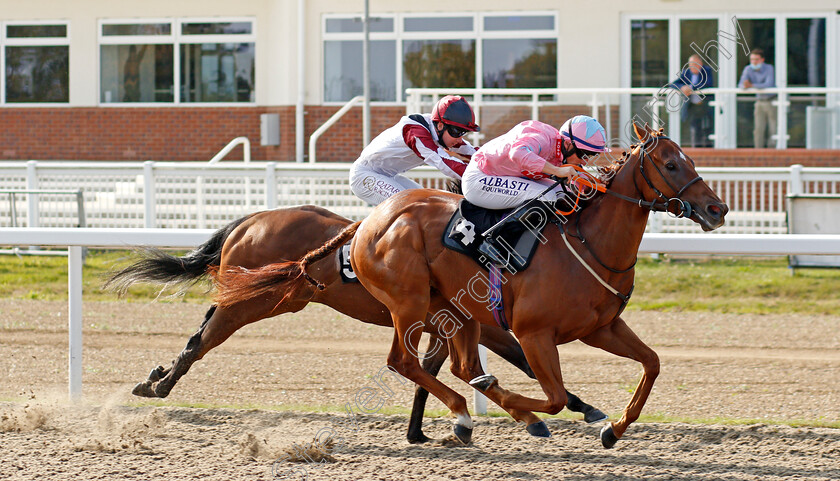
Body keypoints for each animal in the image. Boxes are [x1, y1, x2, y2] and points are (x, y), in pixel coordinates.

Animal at [106, 202, 604, 442]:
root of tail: (251, 220)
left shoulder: (451, 323)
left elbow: (437, 371)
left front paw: (421, 431)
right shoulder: (490, 326)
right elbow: (523, 364)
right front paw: (584, 411)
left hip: (259, 299)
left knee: (200, 331)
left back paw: (154, 379)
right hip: (253, 304)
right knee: (203, 340)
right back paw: (158, 386)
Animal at [215, 124, 728, 446]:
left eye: (689, 159)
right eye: (670, 164)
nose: (717, 209)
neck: (588, 242)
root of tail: (369, 224)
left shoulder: (601, 327)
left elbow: (652, 364)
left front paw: (612, 430)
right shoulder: (534, 332)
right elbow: (554, 396)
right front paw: (533, 410)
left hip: (452, 310)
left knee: (455, 365)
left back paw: (469, 414)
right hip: (406, 302)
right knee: (404, 361)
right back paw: (467, 412)